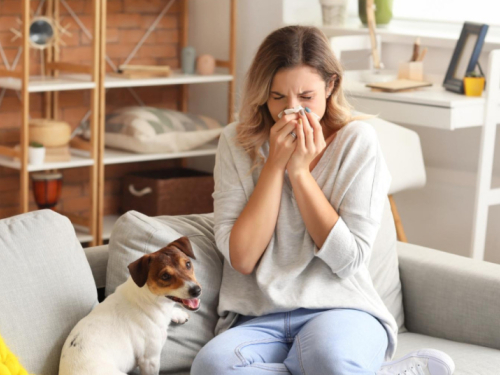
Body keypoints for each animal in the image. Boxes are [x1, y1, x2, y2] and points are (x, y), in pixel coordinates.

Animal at [60, 238, 203, 375]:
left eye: (188, 264)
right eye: (165, 276)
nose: (196, 290)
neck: (149, 299)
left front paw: (178, 313)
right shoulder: (149, 360)